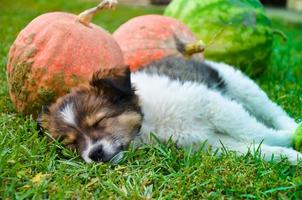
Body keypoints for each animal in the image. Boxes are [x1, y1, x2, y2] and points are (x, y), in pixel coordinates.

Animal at [39, 56, 300, 164]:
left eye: (100, 121)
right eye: (71, 143)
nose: (94, 154)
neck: (148, 122)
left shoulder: (213, 105)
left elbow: (255, 131)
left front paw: (288, 140)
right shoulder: (208, 143)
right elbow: (252, 148)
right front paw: (290, 157)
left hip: (241, 85)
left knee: (272, 110)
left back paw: (293, 127)